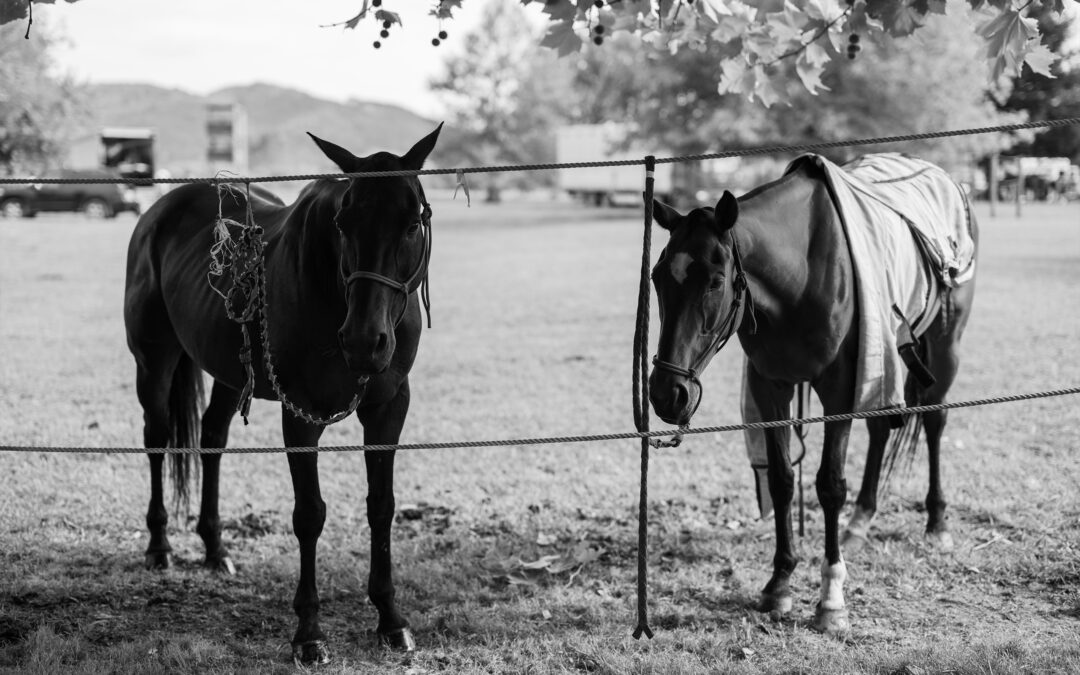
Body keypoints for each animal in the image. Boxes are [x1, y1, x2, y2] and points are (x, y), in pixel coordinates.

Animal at [123, 124, 442, 664]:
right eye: (343, 221)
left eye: (412, 220)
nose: (364, 341)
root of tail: (157, 211)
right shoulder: (301, 414)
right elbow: (309, 514)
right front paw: (309, 633)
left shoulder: (388, 408)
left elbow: (381, 505)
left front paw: (391, 620)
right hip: (155, 361)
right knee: (157, 440)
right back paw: (160, 546)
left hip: (231, 372)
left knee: (211, 441)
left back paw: (215, 549)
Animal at [646, 155, 977, 635]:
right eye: (657, 277)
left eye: (714, 281)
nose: (665, 393)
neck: (800, 275)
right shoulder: (771, 387)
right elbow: (783, 480)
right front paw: (780, 582)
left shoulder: (839, 391)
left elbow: (829, 485)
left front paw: (831, 597)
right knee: (880, 429)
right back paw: (860, 521)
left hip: (944, 343)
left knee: (934, 422)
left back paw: (936, 521)